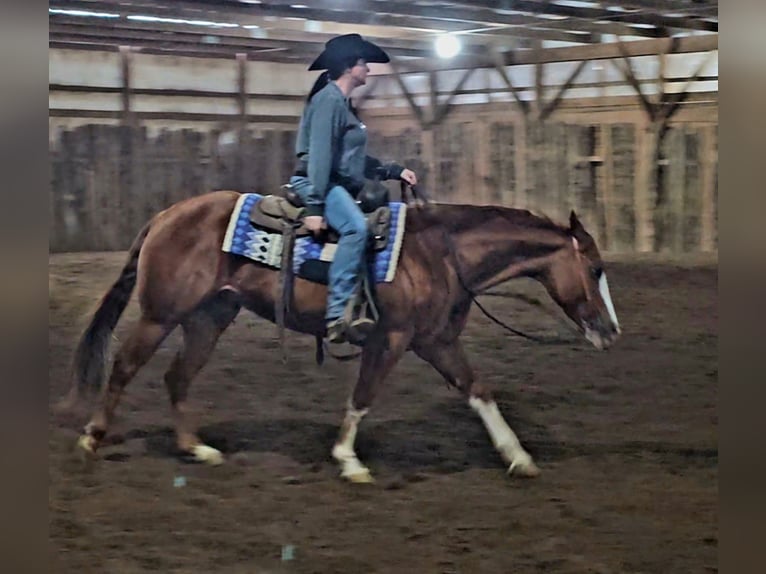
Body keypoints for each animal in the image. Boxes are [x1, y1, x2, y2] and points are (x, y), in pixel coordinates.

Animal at [64, 190, 621, 483]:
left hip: (209, 317)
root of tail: (166, 214)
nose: (611, 332)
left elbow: (478, 390)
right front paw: (348, 461)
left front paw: (518, 456)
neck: (440, 254)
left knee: (177, 378)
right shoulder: (390, 339)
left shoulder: (437, 341)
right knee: (125, 368)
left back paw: (196, 449)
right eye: (595, 269)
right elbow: (363, 395)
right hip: (161, 315)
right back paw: (91, 438)